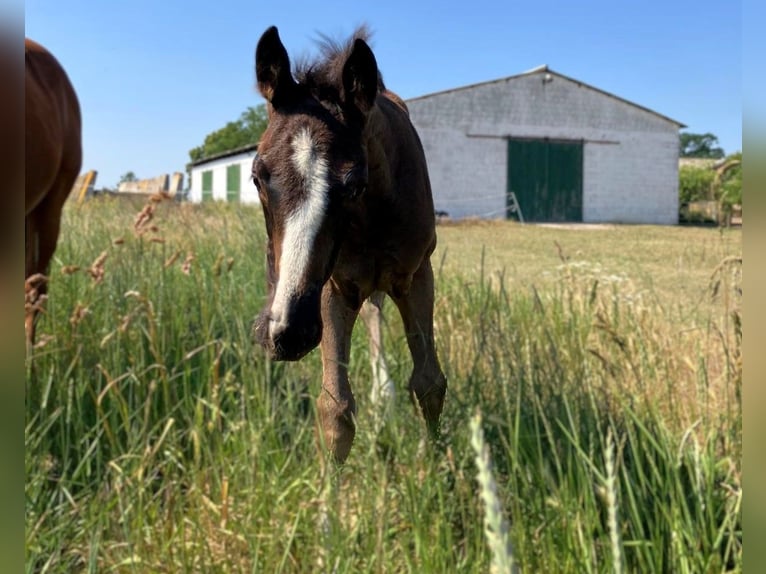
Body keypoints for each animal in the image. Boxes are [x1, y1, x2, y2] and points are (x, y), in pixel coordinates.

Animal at [251, 26, 447, 464]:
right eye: (256, 177)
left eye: (354, 184)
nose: (288, 333)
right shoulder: (332, 289)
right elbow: (335, 408)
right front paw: (328, 486)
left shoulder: (417, 275)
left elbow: (429, 383)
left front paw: (440, 467)